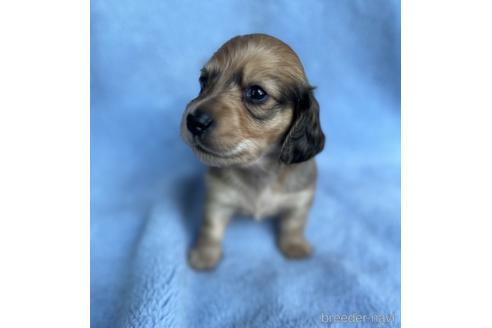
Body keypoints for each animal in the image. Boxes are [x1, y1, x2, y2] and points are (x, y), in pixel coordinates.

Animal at [180, 33, 322, 270]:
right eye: (203, 81)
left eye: (256, 93)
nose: (194, 122)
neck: (259, 170)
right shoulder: (217, 197)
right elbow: (211, 228)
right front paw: (205, 255)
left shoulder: (301, 197)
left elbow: (294, 223)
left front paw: (295, 245)